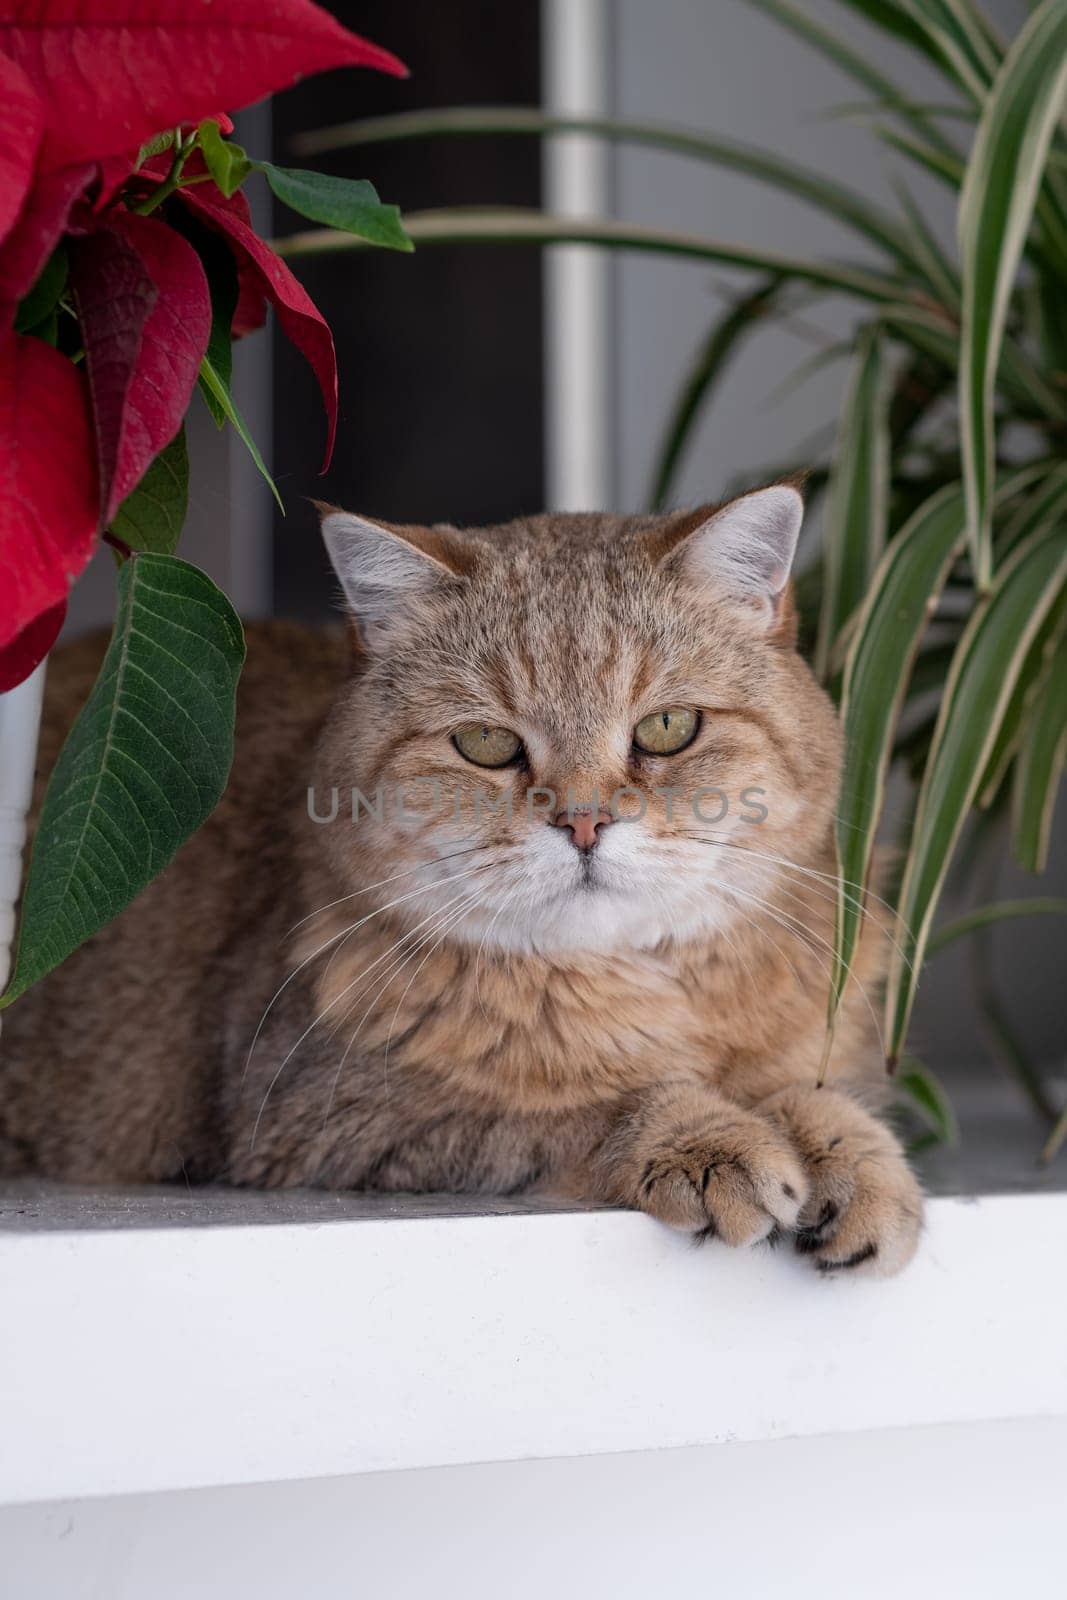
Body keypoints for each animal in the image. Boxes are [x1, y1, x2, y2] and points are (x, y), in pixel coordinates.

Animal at [0, 483, 927, 1273]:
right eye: (486, 744)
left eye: (666, 727)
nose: (583, 822)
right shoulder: (326, 1115)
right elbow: (583, 1104)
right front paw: (707, 1137)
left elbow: (810, 1091)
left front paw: (854, 1158)